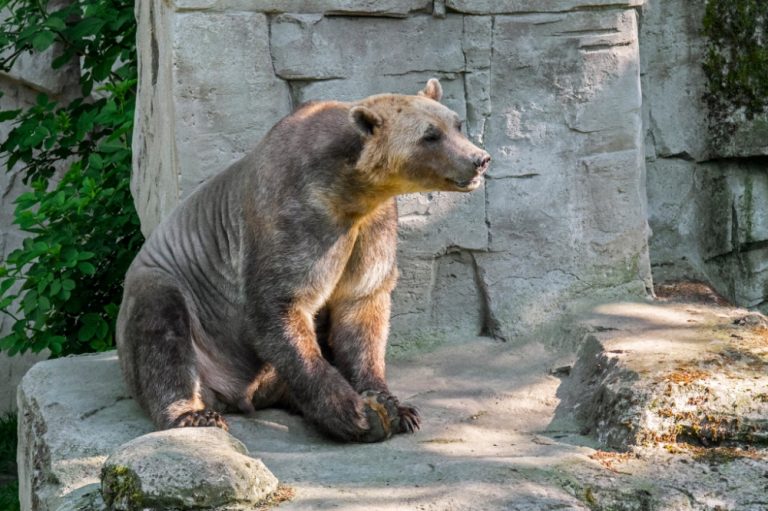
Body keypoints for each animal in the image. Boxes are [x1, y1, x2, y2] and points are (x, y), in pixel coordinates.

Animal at [116, 79, 491, 442]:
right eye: (430, 135)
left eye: (456, 123)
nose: (480, 158)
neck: (350, 190)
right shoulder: (298, 218)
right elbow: (282, 305)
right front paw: (353, 412)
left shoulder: (373, 226)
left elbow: (362, 306)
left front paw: (394, 406)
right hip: (177, 297)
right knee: (162, 331)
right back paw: (193, 413)